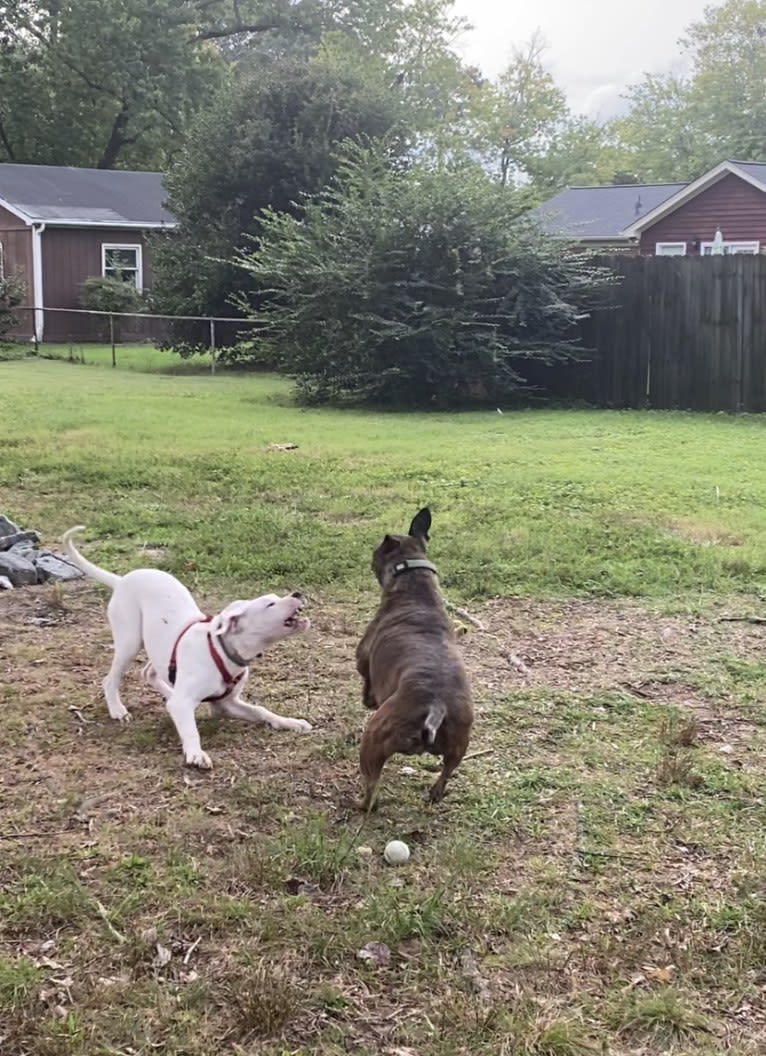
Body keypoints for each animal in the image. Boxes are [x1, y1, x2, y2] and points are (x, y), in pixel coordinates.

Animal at [62, 525, 312, 768]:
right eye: (270, 604)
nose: (298, 592)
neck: (222, 651)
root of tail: (122, 579)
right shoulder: (192, 703)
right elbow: (191, 730)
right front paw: (195, 754)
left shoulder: (226, 703)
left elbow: (261, 710)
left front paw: (289, 722)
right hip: (129, 642)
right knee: (112, 679)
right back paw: (117, 710)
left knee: (150, 673)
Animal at [357, 506, 471, 811]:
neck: (415, 585)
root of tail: (436, 706)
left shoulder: (363, 658)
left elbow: (365, 679)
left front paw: (368, 698)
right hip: (459, 746)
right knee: (445, 774)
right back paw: (435, 794)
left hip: (374, 739)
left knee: (371, 786)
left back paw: (362, 804)